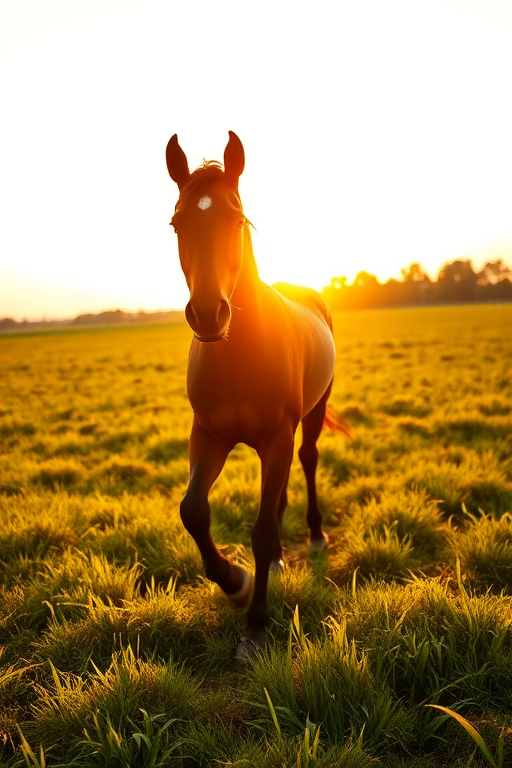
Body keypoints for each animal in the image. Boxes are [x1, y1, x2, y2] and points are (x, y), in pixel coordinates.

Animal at [165, 131, 349, 659]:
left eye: (236, 220)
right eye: (178, 223)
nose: (209, 314)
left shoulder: (276, 437)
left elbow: (263, 530)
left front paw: (256, 627)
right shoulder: (209, 436)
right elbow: (193, 511)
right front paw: (237, 583)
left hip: (311, 415)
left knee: (307, 461)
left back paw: (314, 536)